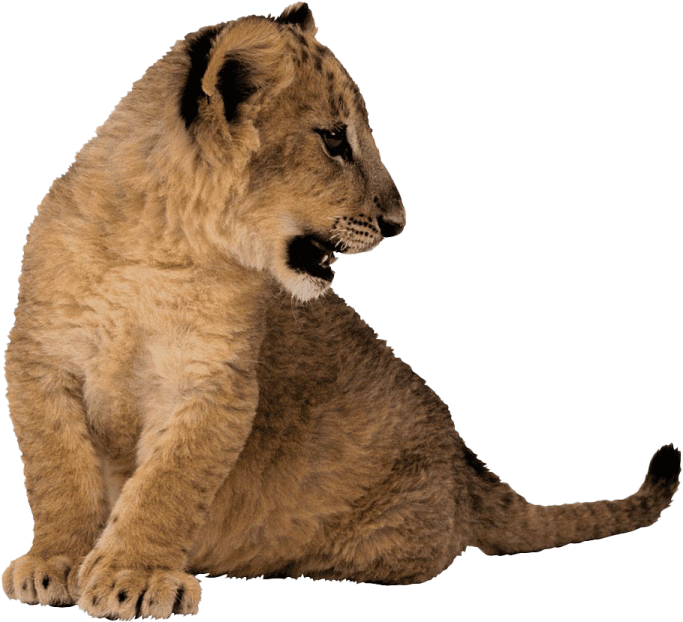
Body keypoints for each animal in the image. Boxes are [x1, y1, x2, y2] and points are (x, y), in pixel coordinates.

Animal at [2, 3, 679, 620]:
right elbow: (58, 473)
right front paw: (57, 563)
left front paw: (133, 575)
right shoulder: (40, 361)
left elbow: (170, 484)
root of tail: (467, 465)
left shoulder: (216, 381)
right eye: (333, 140)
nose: (397, 222)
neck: (158, 244)